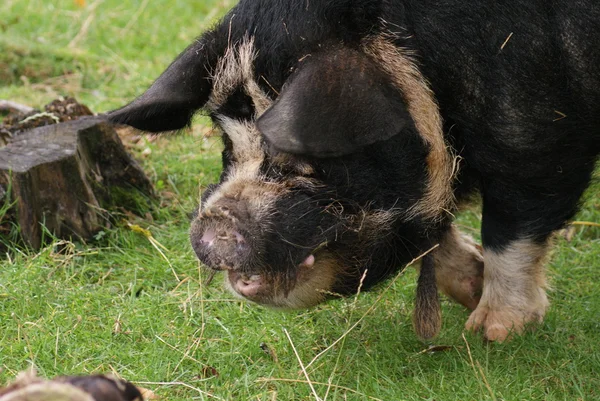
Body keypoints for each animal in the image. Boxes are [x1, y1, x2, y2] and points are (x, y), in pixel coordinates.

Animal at [109, 1, 600, 342]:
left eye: (306, 157)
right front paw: (473, 290)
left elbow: (513, 224)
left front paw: (489, 332)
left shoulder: (538, 133)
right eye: (228, 145)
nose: (214, 221)